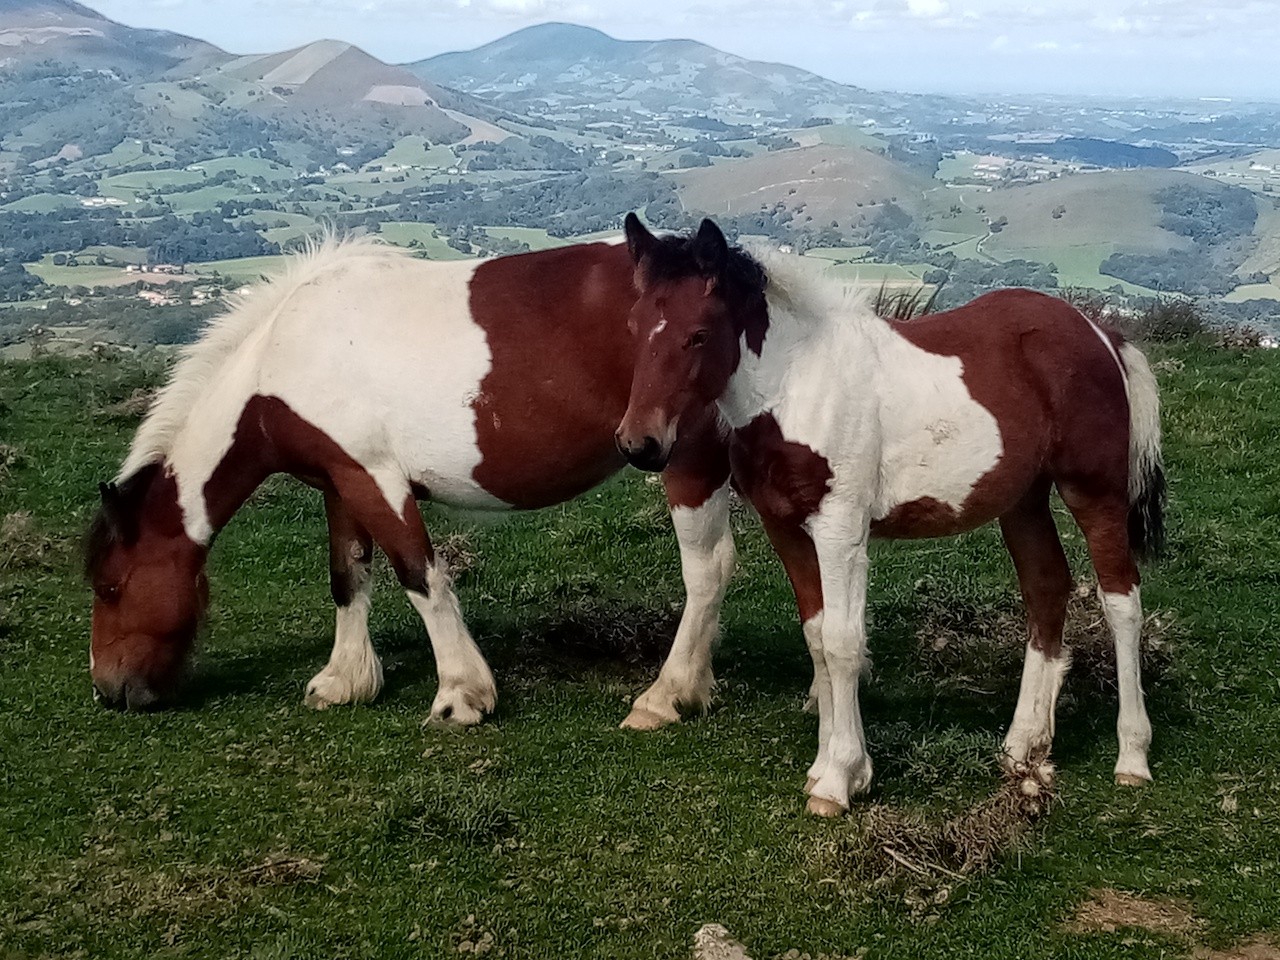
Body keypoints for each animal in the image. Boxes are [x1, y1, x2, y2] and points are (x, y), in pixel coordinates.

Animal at [85, 235, 737, 727]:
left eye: (110, 587)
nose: (109, 690)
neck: (280, 359)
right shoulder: (341, 479)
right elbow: (347, 577)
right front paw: (345, 680)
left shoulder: (377, 479)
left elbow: (420, 577)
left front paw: (462, 695)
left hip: (686, 461)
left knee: (707, 569)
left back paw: (668, 695)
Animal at [614, 216, 1167, 819]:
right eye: (634, 326)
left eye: (697, 334)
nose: (639, 444)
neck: (798, 384)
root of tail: (1102, 335)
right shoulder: (787, 528)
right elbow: (817, 636)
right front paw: (828, 768)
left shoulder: (840, 531)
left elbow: (842, 642)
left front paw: (839, 778)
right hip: (1023, 500)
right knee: (1046, 587)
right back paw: (1024, 744)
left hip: (1095, 492)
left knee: (1122, 601)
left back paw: (1132, 756)